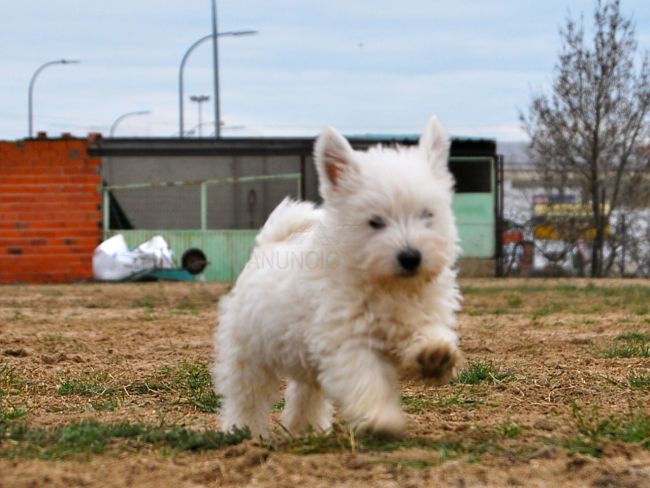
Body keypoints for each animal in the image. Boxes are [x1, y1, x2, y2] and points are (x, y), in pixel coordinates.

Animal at [213, 115, 460, 438]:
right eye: (375, 221)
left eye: (427, 215)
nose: (411, 257)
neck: (387, 286)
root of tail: (268, 245)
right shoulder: (347, 342)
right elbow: (366, 380)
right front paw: (381, 418)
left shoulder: (420, 313)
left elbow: (428, 330)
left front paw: (435, 354)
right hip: (249, 353)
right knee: (246, 396)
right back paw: (243, 430)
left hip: (305, 359)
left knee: (306, 392)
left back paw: (306, 427)